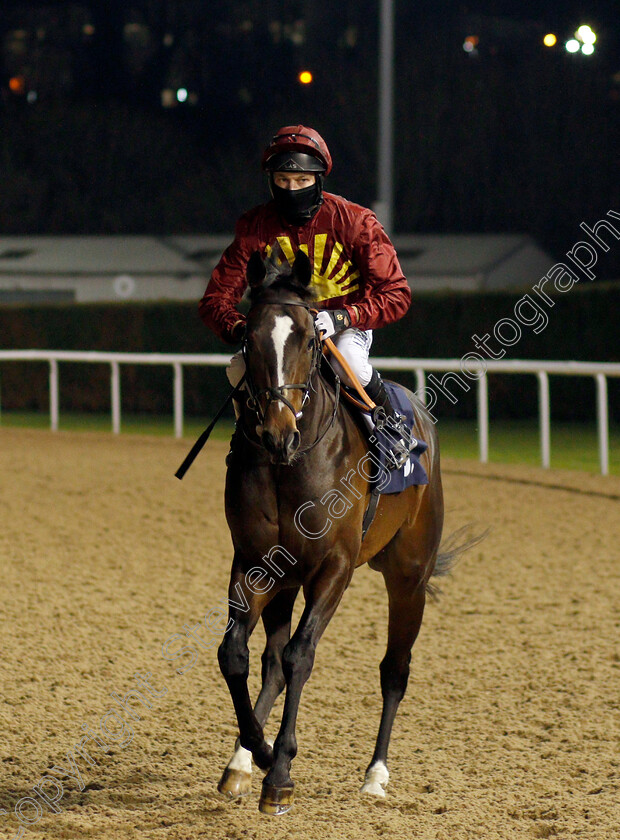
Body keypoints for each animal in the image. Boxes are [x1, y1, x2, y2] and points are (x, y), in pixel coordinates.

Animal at [218, 249, 450, 812]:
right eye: (248, 337)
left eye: (308, 336)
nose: (278, 433)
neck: (292, 462)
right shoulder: (255, 562)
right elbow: (236, 654)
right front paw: (255, 753)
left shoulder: (335, 567)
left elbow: (301, 655)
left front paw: (279, 771)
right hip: (286, 580)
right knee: (270, 661)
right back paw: (241, 761)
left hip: (410, 577)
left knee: (394, 670)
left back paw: (376, 774)